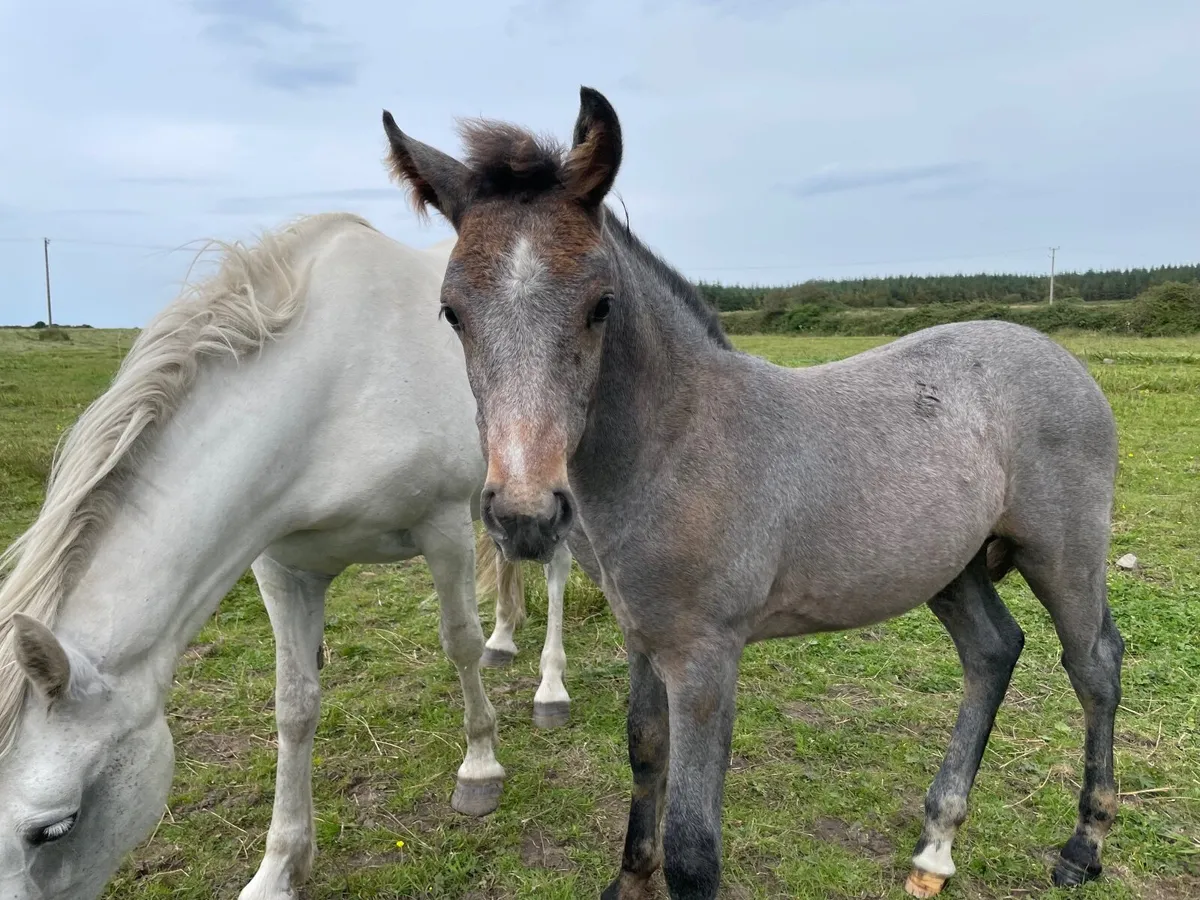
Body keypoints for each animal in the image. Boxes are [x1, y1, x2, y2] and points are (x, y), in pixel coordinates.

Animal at [0, 212, 570, 900]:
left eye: (54, 828)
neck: (333, 388)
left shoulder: (441, 532)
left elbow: (458, 642)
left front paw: (480, 768)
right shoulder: (281, 567)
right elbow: (294, 705)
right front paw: (279, 868)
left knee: (559, 572)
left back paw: (551, 689)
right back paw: (506, 640)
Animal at [380, 87, 1125, 899]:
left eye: (601, 304)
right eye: (453, 311)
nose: (523, 516)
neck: (674, 447)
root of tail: (1056, 353)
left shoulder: (707, 657)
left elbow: (695, 844)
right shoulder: (644, 636)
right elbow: (645, 751)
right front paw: (630, 878)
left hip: (1062, 553)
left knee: (1094, 664)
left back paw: (1083, 845)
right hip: (950, 568)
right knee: (992, 651)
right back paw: (935, 848)